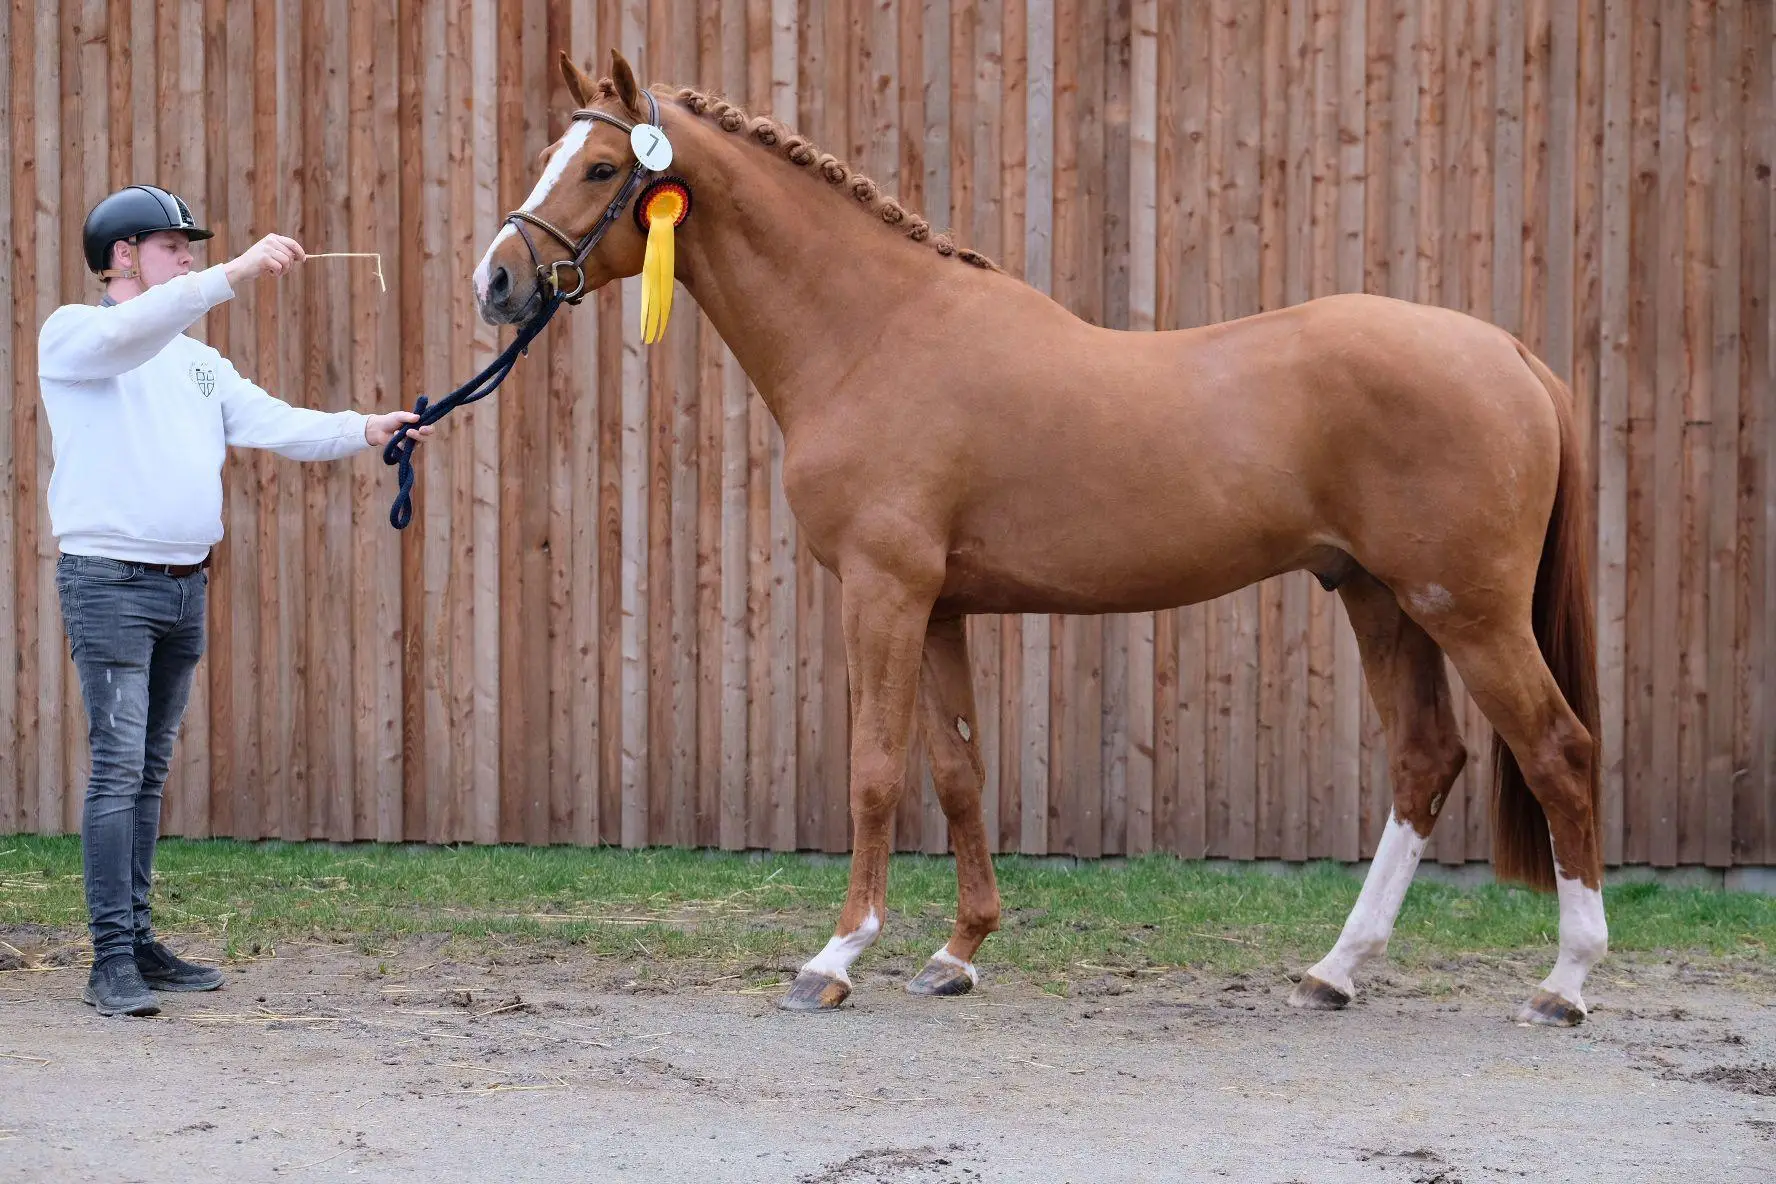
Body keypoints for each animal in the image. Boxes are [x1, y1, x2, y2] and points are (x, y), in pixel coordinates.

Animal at [471, 49, 1608, 1028]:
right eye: (554, 157)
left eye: (603, 167)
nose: (496, 282)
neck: (875, 335)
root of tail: (1509, 353)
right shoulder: (940, 608)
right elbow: (957, 773)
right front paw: (957, 953)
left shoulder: (881, 592)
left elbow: (875, 768)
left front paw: (835, 957)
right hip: (1381, 599)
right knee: (1426, 760)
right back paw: (1335, 969)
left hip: (1470, 610)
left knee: (1559, 750)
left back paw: (1564, 982)